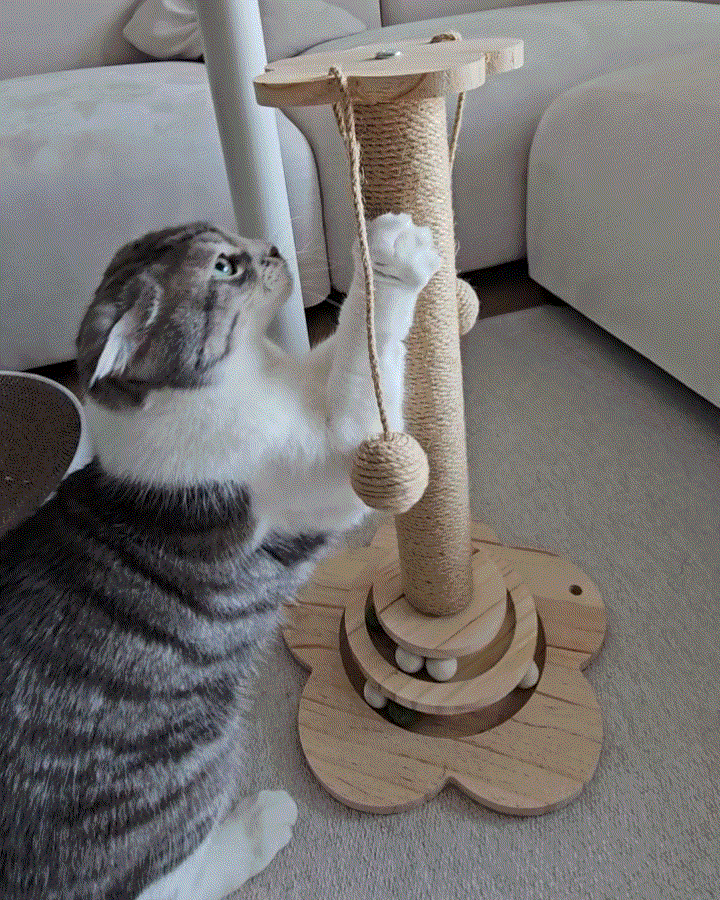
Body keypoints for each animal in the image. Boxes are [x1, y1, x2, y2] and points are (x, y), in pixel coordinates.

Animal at [0, 213, 441, 900]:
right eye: (224, 268)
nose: (274, 247)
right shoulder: (334, 458)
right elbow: (360, 358)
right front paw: (393, 253)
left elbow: (341, 348)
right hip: (175, 781)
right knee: (171, 881)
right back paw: (259, 826)